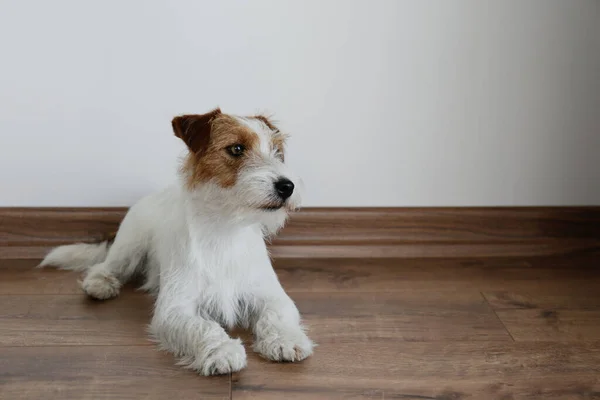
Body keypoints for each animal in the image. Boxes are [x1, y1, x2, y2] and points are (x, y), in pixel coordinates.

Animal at [38, 108, 314, 376]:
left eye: (277, 152)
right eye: (236, 148)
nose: (287, 186)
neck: (225, 229)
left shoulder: (271, 295)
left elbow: (276, 315)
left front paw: (285, 340)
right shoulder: (175, 309)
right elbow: (204, 327)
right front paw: (222, 351)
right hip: (129, 247)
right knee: (106, 266)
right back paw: (99, 284)